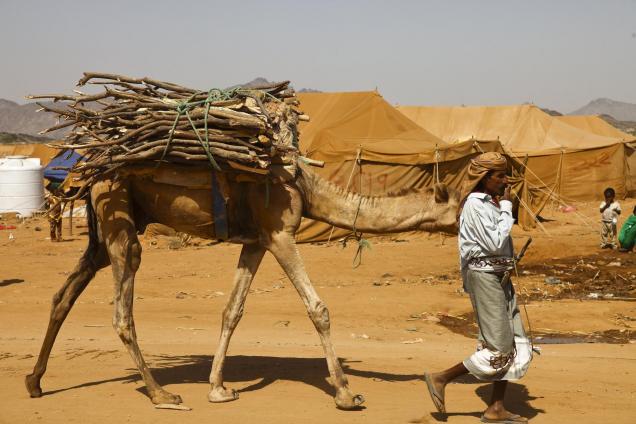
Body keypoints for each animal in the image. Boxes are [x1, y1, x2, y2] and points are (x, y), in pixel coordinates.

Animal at [24, 161, 460, 410]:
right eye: (457, 206)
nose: (468, 219)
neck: (307, 188)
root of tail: (88, 172)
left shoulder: (256, 241)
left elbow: (232, 310)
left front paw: (218, 388)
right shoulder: (280, 232)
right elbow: (318, 309)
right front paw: (345, 393)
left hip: (105, 228)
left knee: (64, 294)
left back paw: (34, 381)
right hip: (118, 214)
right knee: (121, 308)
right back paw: (161, 394)